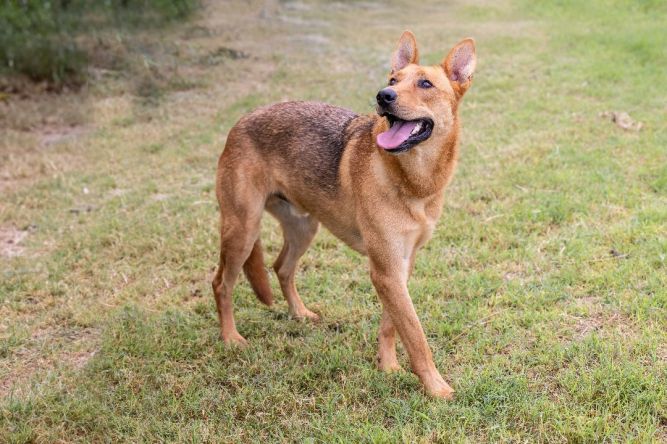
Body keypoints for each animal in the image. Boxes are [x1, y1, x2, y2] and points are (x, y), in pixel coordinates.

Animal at [211, 31, 478, 398]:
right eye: (393, 80)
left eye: (425, 83)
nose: (383, 96)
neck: (414, 182)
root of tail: (241, 120)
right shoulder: (386, 271)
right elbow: (415, 335)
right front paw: (436, 388)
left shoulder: (400, 266)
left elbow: (392, 325)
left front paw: (388, 367)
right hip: (243, 230)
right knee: (221, 283)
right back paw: (230, 338)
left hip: (303, 227)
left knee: (281, 268)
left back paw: (299, 313)